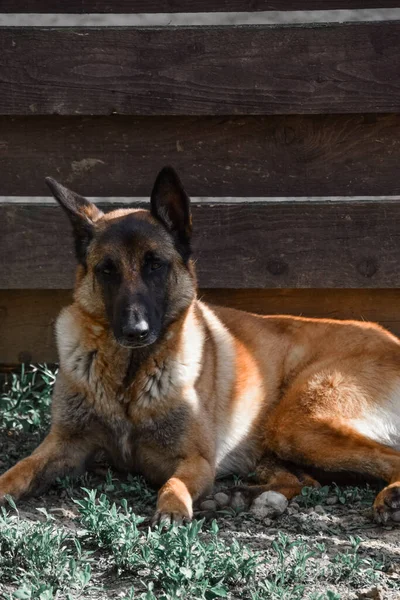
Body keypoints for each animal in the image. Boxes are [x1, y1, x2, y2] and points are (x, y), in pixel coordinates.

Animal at [0, 165, 400, 524]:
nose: (135, 331)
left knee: (385, 460)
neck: (129, 377)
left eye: (155, 265)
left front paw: (172, 509)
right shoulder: (64, 444)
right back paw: (242, 497)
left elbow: (173, 485)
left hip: (297, 424)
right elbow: (21, 469)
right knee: (301, 481)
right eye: (107, 269)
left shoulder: (196, 461)